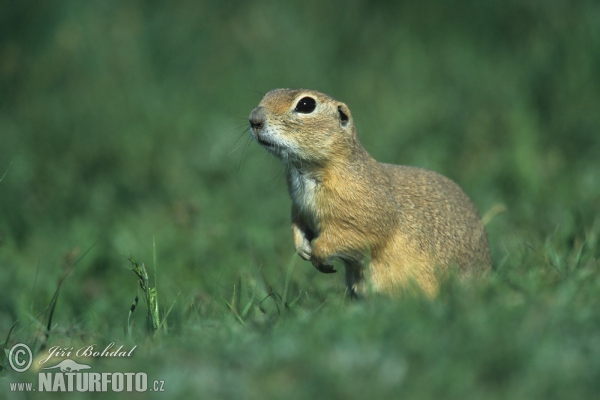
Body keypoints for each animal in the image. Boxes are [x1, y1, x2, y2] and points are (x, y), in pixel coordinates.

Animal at [248, 89, 492, 296]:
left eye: (306, 105)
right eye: (268, 93)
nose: (253, 119)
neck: (306, 173)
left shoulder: (360, 208)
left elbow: (357, 234)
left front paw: (318, 254)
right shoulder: (298, 205)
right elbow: (297, 224)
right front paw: (302, 249)